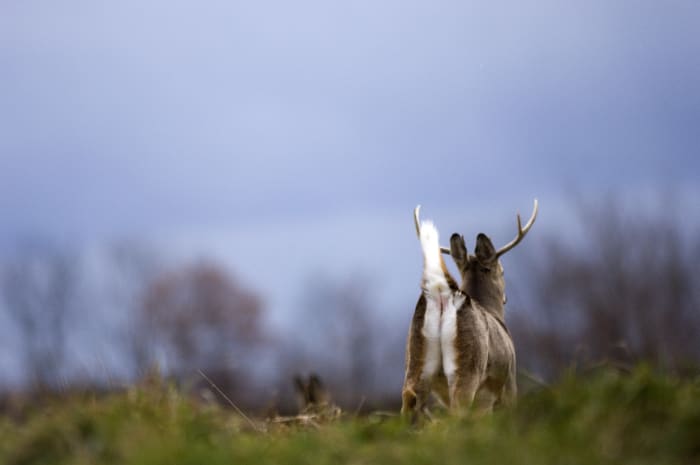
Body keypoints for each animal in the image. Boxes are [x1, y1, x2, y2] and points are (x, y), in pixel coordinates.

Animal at [402, 199, 540, 416]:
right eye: (503, 270)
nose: (505, 298)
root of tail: (443, 296)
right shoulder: (510, 379)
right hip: (469, 363)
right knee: (459, 409)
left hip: (416, 356)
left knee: (410, 399)